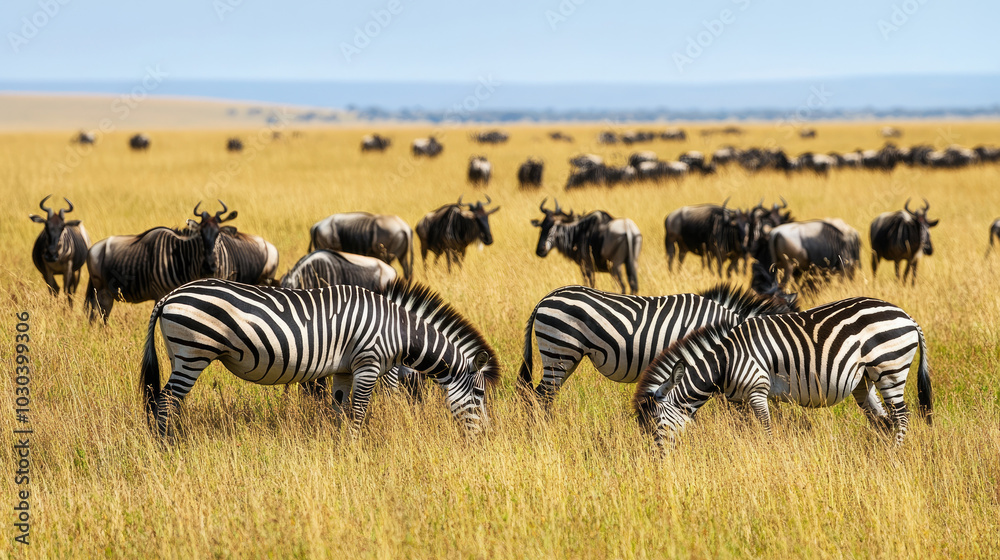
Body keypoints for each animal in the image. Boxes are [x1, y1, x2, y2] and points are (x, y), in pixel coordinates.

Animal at [140, 278, 499, 439]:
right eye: (480, 394)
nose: (486, 438)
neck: (397, 331)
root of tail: (170, 295)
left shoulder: (343, 370)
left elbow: (339, 410)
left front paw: (339, 448)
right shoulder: (367, 364)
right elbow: (358, 412)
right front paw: (354, 450)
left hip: (179, 355)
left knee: (167, 401)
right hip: (192, 354)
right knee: (166, 401)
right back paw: (168, 446)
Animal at [633, 297, 933, 450]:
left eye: (657, 422)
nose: (656, 460)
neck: (725, 361)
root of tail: (906, 315)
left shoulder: (757, 390)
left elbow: (766, 429)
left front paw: (769, 455)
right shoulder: (738, 400)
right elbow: (744, 429)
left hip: (890, 369)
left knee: (902, 416)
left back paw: (894, 455)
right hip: (865, 379)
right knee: (883, 420)